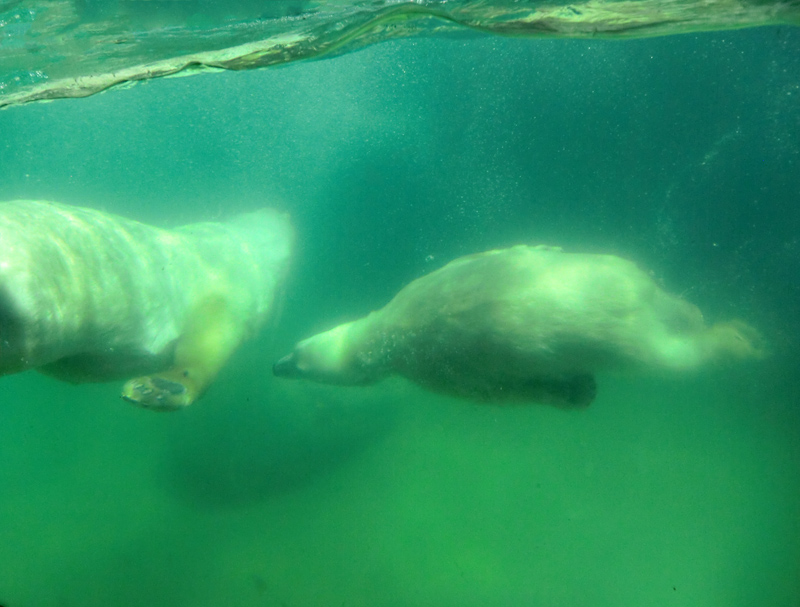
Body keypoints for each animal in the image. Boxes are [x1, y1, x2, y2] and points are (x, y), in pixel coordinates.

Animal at [274, 243, 764, 408]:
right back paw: (731, 326)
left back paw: (738, 342)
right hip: (623, 282)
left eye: (299, 356)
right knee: (677, 314)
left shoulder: (442, 367)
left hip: (627, 333)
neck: (387, 335)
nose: (276, 364)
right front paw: (580, 390)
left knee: (677, 357)